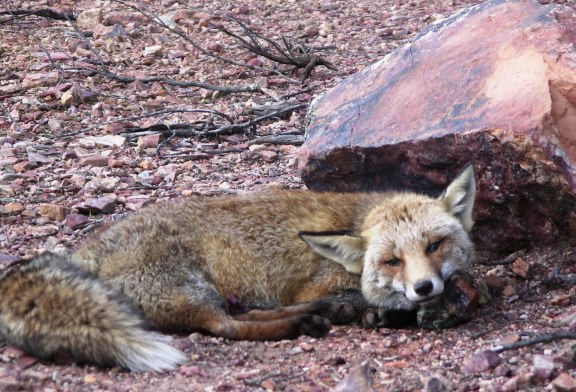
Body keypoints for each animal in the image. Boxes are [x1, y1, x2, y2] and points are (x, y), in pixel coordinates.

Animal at [0, 164, 476, 372]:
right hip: (190, 289)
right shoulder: (320, 283)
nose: (424, 287)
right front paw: (381, 310)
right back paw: (303, 323)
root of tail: (82, 251)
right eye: (393, 260)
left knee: (244, 313)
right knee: (227, 326)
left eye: (434, 246)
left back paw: (315, 316)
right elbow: (369, 300)